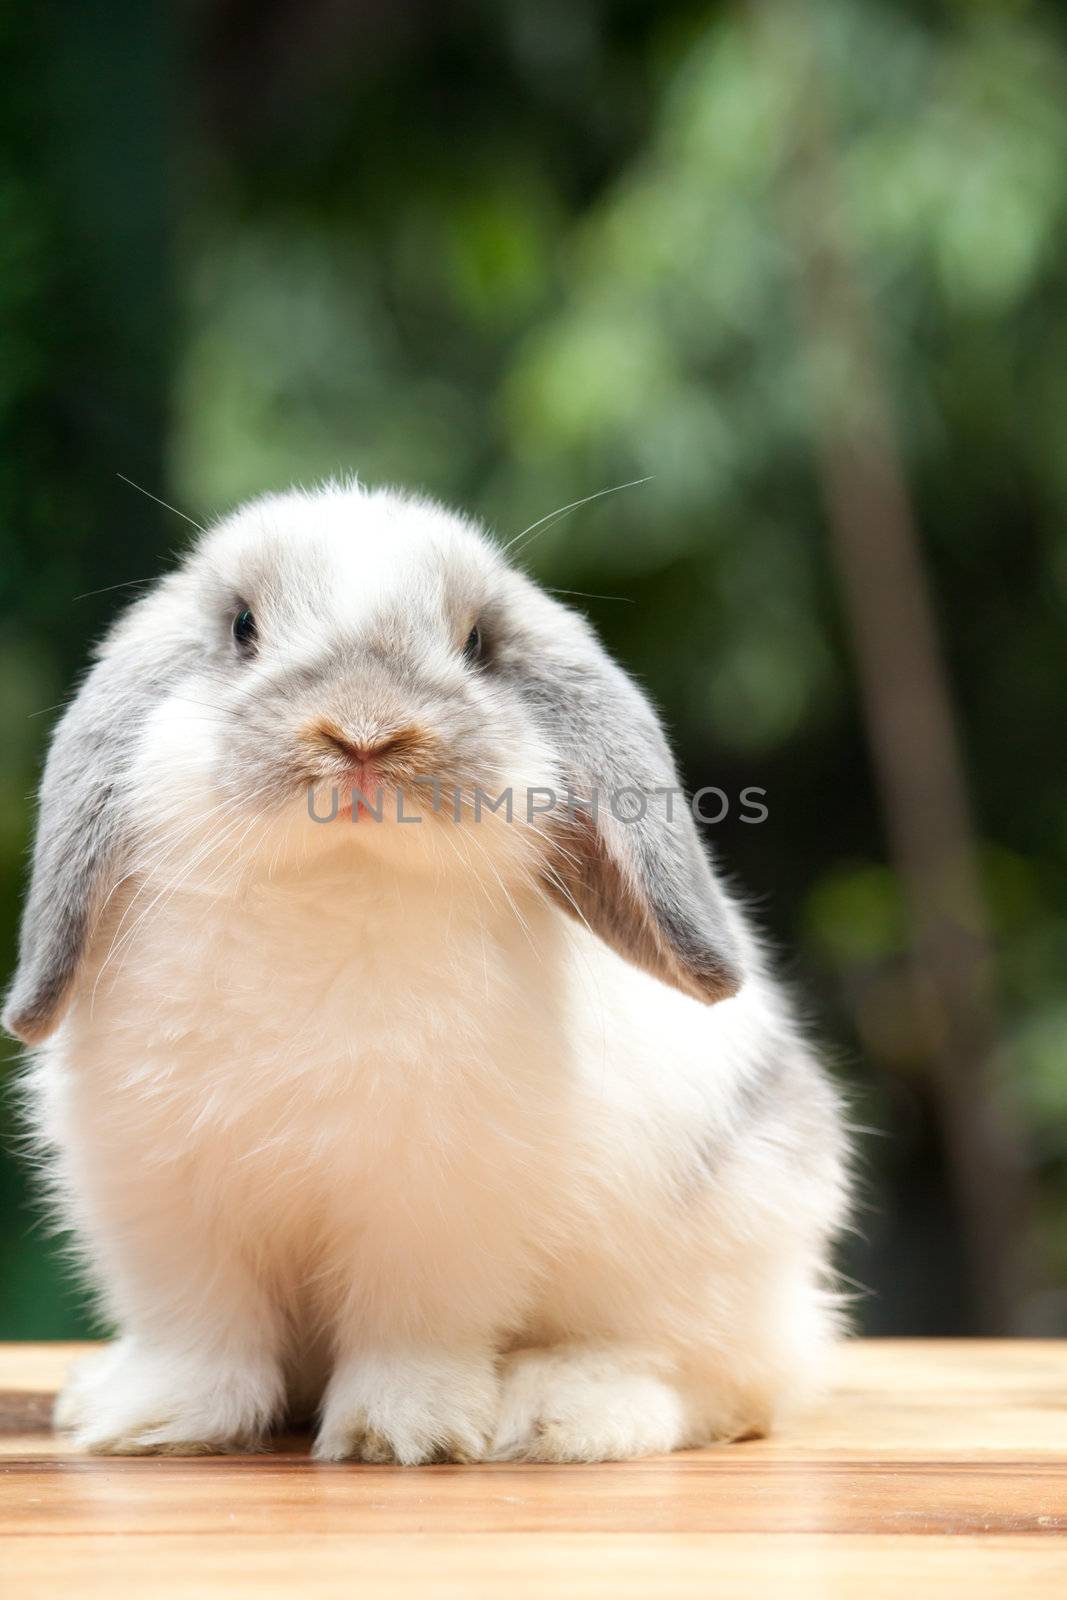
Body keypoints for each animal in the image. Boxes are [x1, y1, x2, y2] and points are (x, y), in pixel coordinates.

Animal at [4, 483, 844, 1465]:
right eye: (243, 627)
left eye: (477, 643)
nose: (365, 733)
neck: (337, 885)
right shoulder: (165, 1204)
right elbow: (202, 1335)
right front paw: (153, 1424)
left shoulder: (432, 1216)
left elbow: (409, 1331)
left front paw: (399, 1435)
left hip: (718, 1253)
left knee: (717, 1381)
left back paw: (567, 1412)